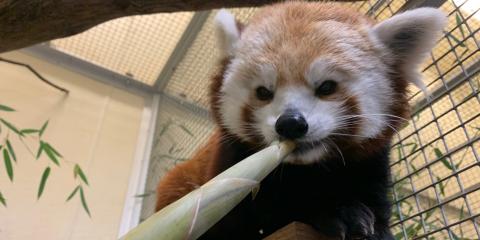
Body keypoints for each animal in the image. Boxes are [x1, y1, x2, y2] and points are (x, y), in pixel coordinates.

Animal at [155, 2, 446, 240]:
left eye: (326, 86)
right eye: (263, 92)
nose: (290, 124)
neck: (306, 169)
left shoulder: (369, 163)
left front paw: (371, 226)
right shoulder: (231, 169)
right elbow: (259, 215)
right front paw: (331, 212)